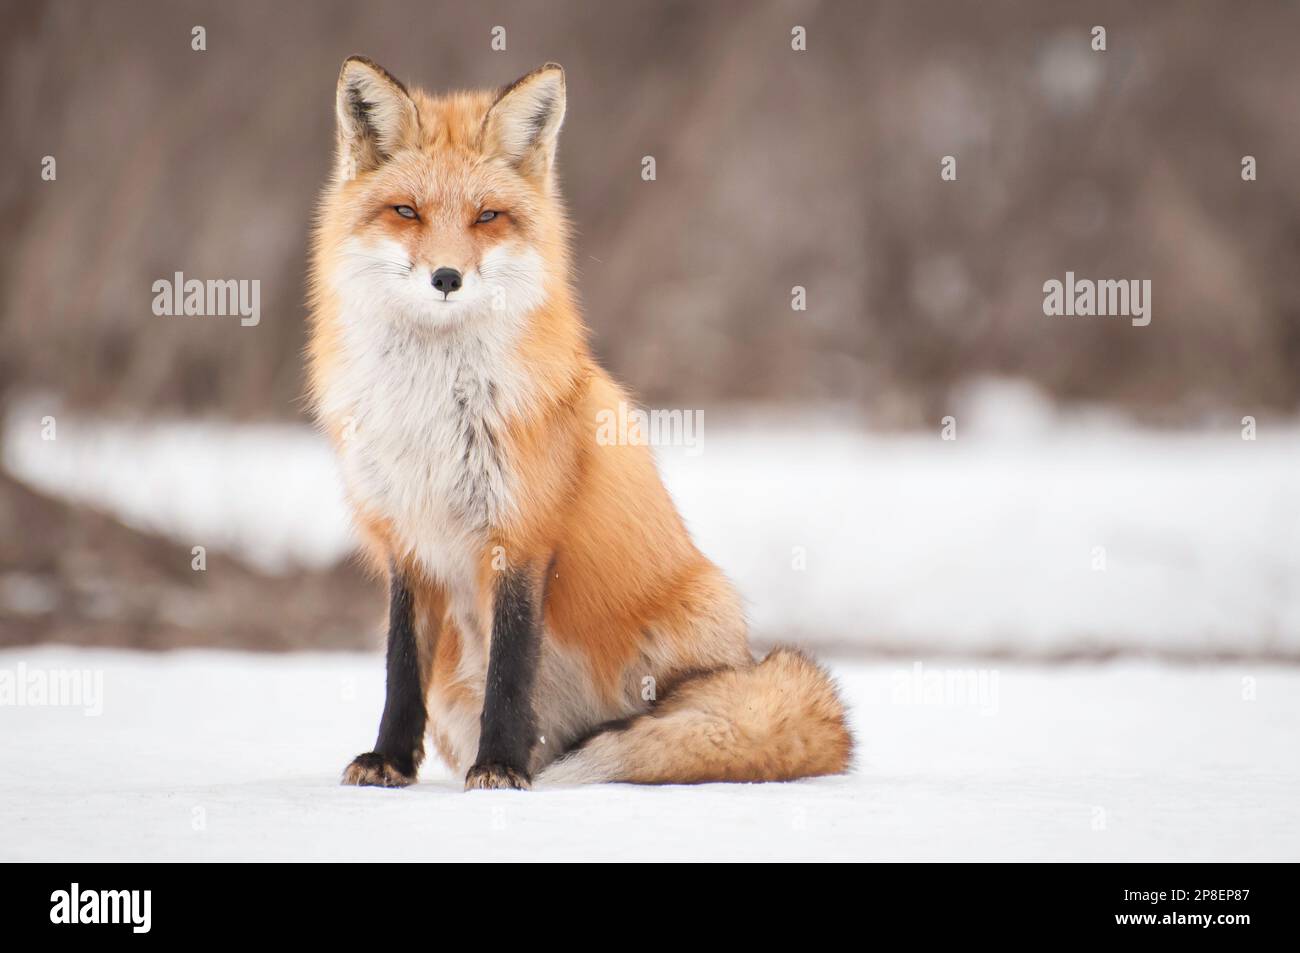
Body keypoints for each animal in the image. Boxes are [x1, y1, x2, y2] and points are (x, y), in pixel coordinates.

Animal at [305, 59, 852, 790]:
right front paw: (389, 759)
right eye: (406, 211)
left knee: (659, 722)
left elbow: (512, 668)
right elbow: (399, 668)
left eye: (487, 216)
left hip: (690, 620)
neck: (433, 409)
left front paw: (500, 767)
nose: (446, 277)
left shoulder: (522, 534)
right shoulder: (406, 541)